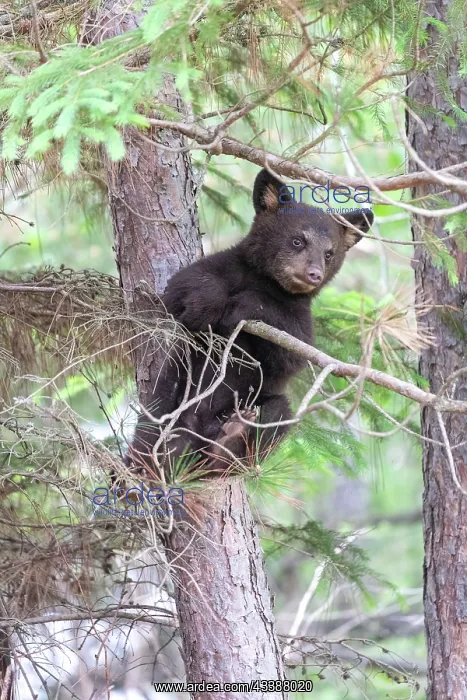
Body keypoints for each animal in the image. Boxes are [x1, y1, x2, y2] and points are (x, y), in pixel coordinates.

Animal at [124, 168, 373, 477]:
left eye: (330, 253)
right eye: (297, 240)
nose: (314, 274)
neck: (266, 281)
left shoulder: (299, 315)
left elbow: (292, 353)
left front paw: (242, 306)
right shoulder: (223, 265)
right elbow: (183, 285)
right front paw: (204, 306)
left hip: (256, 408)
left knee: (276, 413)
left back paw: (230, 441)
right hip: (169, 399)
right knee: (154, 423)